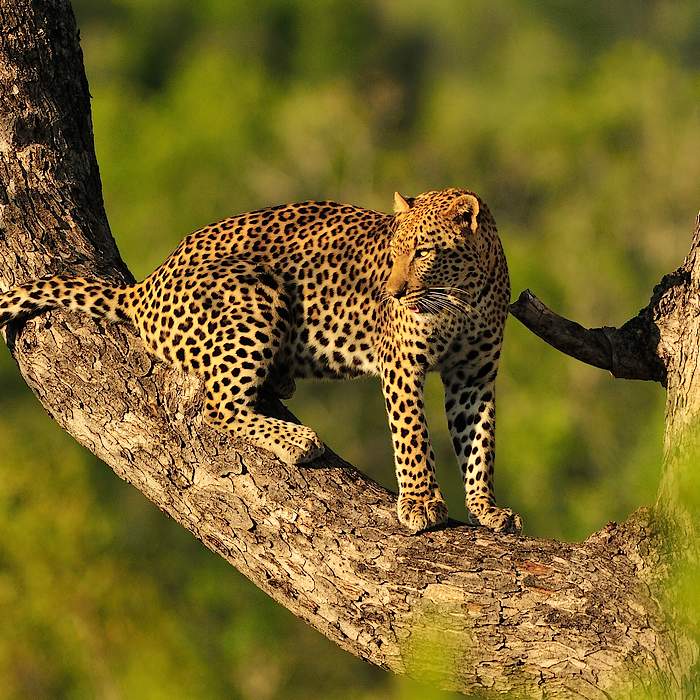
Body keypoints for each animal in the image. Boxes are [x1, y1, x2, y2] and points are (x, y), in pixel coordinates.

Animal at [0, 189, 524, 532]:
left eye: (423, 252)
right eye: (392, 254)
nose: (390, 293)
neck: (463, 296)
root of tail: (144, 286)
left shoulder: (474, 376)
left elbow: (479, 443)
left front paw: (486, 508)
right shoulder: (403, 365)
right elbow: (413, 434)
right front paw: (420, 503)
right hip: (256, 296)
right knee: (219, 407)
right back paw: (298, 440)